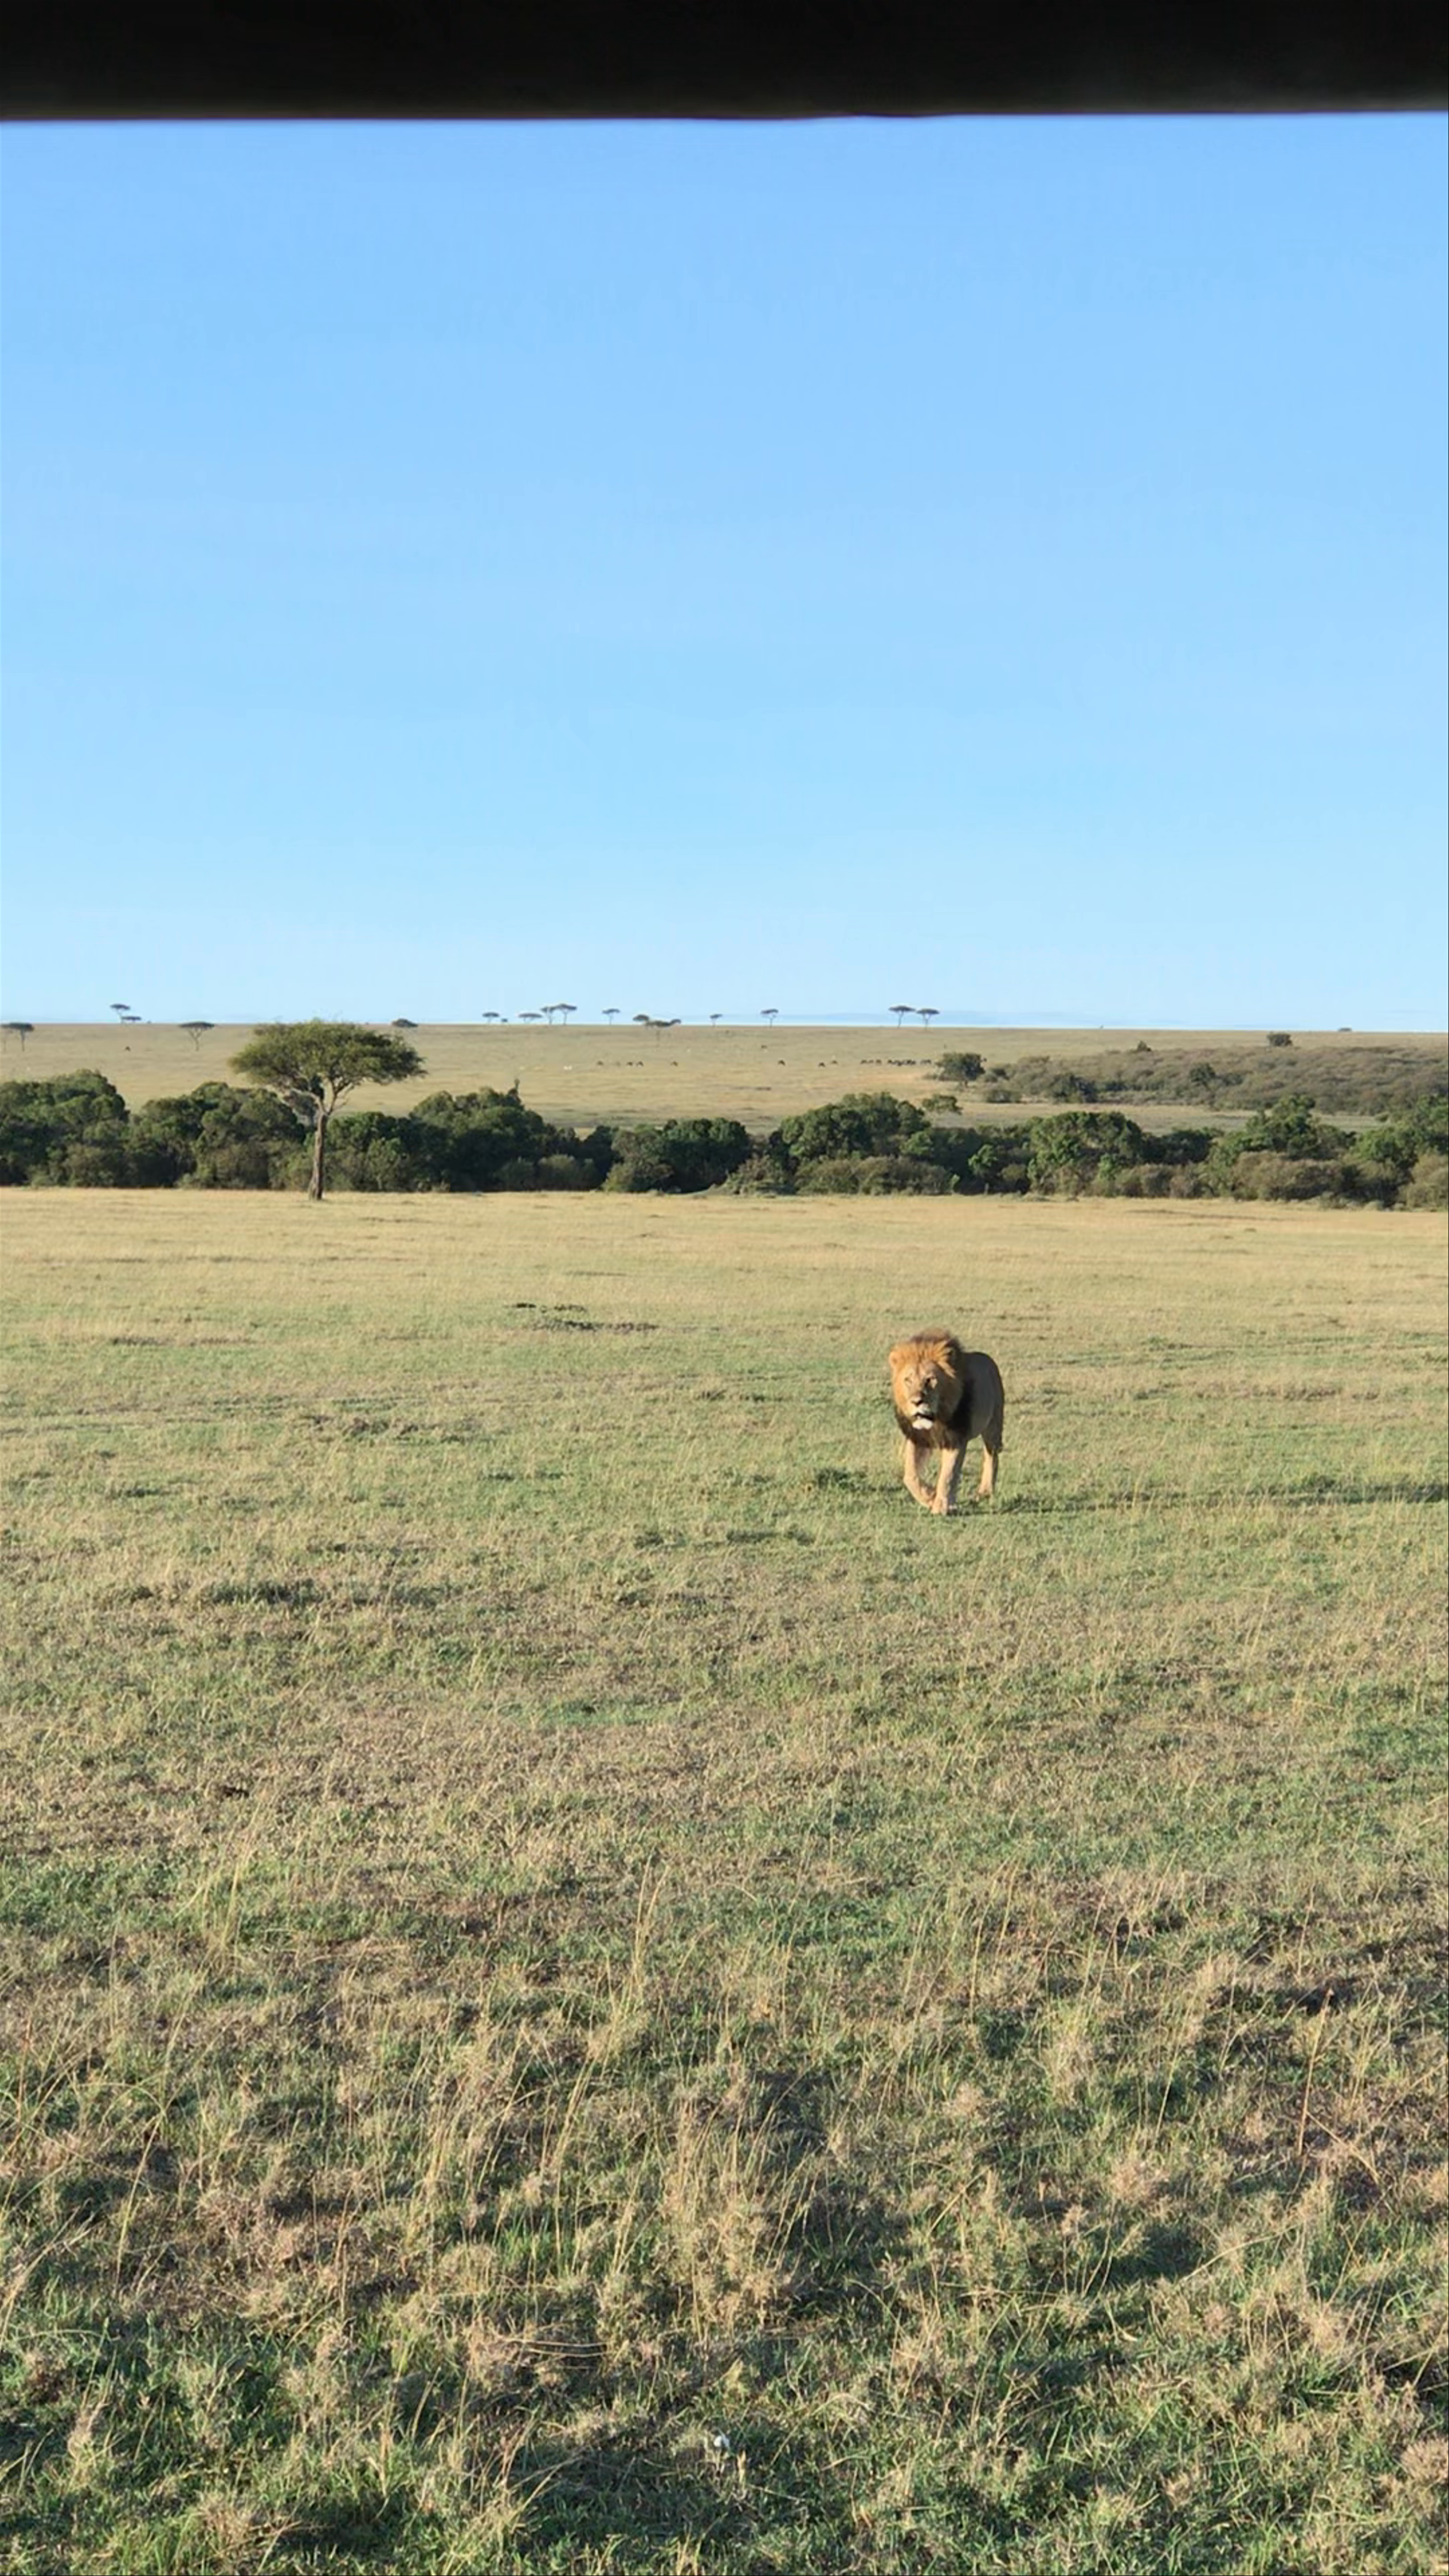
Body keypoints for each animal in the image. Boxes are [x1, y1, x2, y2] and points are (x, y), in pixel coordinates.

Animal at [888, 1332, 1004, 1514]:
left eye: (930, 1380)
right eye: (908, 1380)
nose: (916, 1402)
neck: (937, 1418)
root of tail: (988, 1359)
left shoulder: (956, 1439)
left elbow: (948, 1474)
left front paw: (942, 1507)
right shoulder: (917, 1437)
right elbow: (910, 1476)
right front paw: (929, 1497)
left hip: (993, 1426)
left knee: (992, 1456)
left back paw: (985, 1492)